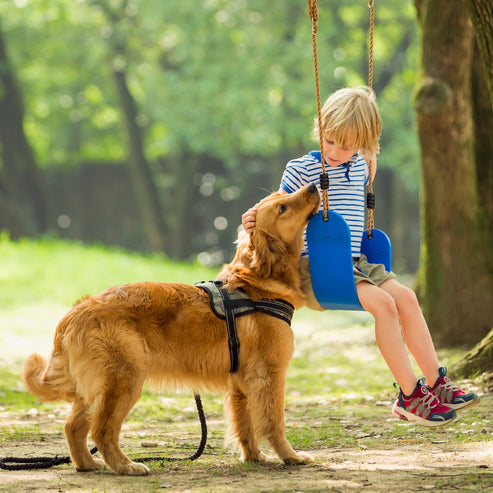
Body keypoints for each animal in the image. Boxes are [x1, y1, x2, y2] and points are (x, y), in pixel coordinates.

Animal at [21, 182, 320, 472]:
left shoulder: (240, 382)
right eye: (282, 208)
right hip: (123, 381)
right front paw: (290, 457)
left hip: (96, 388)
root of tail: (76, 313)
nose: (314, 187)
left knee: (73, 427)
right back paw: (124, 466)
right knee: (102, 430)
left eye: (281, 195)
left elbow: (245, 426)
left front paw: (254, 457)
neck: (255, 284)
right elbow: (274, 422)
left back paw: (88, 464)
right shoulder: (268, 375)